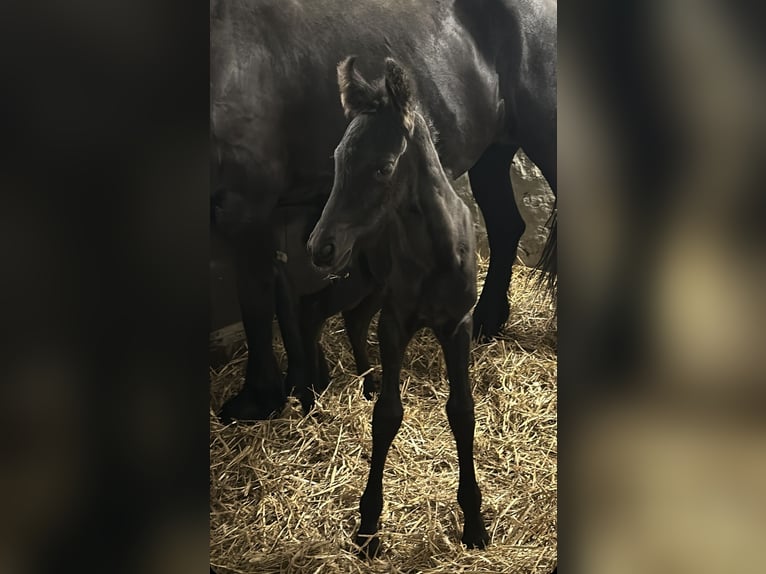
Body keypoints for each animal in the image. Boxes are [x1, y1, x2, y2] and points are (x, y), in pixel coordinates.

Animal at [210, 0, 560, 424]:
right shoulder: (274, 212)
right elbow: (283, 290)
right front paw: (304, 381)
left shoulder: (245, 206)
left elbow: (257, 300)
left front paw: (259, 397)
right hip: (494, 150)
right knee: (506, 226)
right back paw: (486, 321)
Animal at [304, 57, 486, 560]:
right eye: (337, 158)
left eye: (384, 167)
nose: (320, 248)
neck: (437, 253)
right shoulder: (396, 322)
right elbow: (388, 416)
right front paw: (368, 527)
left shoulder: (458, 324)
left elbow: (462, 411)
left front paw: (475, 523)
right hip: (355, 280)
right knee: (314, 309)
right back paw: (310, 391)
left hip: (368, 284)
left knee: (350, 319)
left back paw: (364, 380)